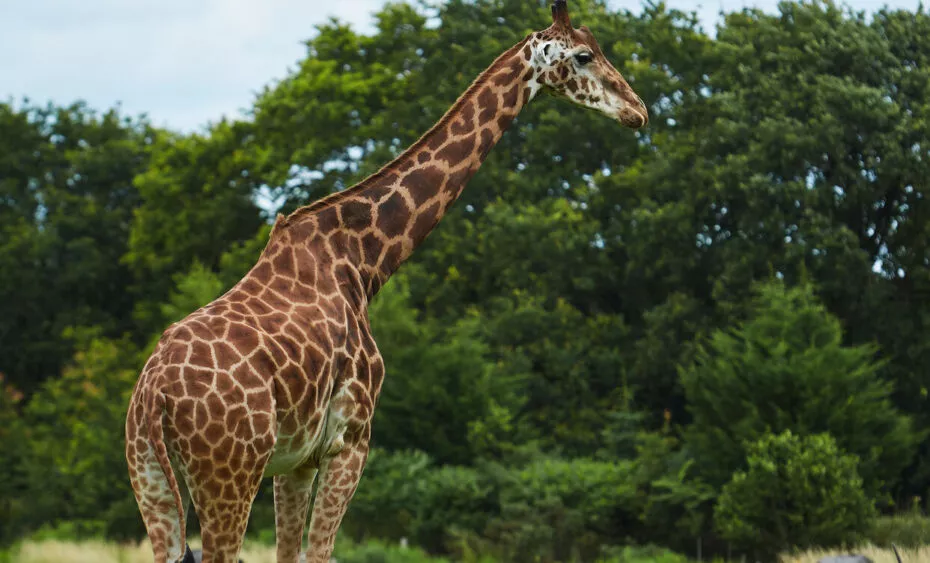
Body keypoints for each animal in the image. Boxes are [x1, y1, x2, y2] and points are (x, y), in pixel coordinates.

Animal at [125, 2, 647, 562]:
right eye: (584, 55)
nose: (638, 109)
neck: (365, 260)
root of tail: (154, 395)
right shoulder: (350, 438)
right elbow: (320, 551)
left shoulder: (296, 459)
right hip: (229, 471)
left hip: (150, 476)